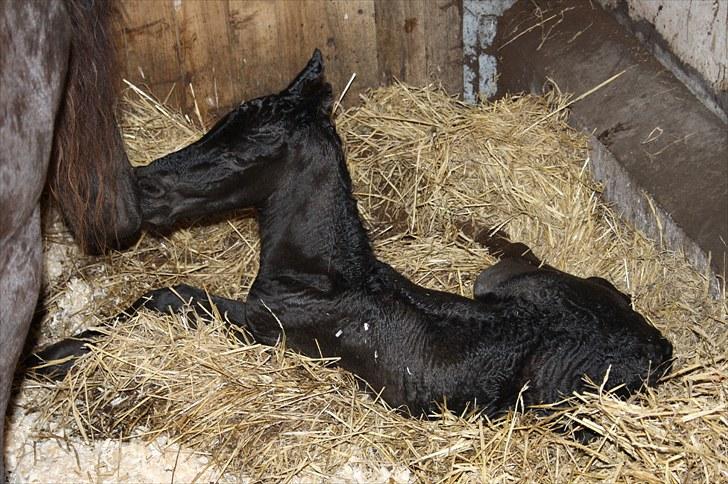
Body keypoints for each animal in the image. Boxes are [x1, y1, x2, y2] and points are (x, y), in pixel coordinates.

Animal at [31, 50, 672, 420]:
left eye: (240, 150)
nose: (143, 187)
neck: (326, 277)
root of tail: (657, 342)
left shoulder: (266, 330)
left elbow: (170, 298)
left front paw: (50, 357)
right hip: (507, 282)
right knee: (531, 261)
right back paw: (473, 225)